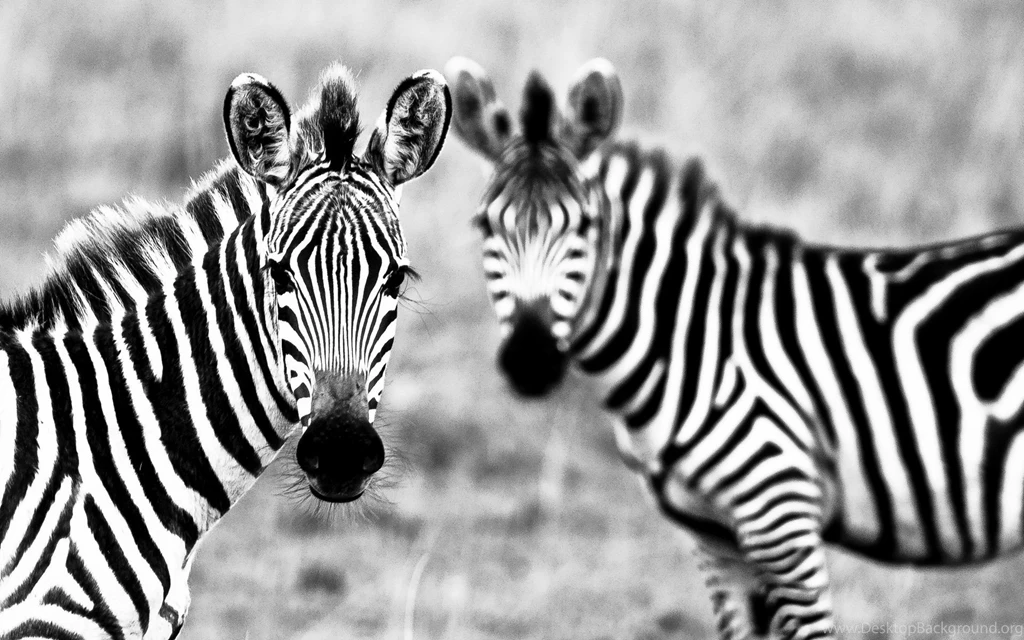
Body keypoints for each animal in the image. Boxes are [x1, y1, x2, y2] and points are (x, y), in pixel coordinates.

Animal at [445, 55, 1024, 639]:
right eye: (483, 225)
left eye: (587, 226)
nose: (529, 361)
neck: (688, 339)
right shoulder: (715, 540)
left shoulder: (780, 516)